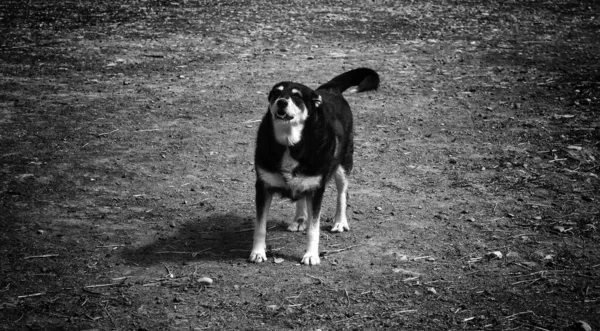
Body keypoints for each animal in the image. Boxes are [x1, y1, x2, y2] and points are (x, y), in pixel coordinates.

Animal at [248, 68, 380, 268]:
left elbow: (313, 228)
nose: (282, 102)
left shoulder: (317, 189)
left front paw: (311, 255)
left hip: (343, 164)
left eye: (297, 97)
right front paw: (257, 252)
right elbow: (260, 226)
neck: (290, 143)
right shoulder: (263, 187)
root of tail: (330, 88)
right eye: (277, 93)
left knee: (342, 194)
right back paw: (299, 219)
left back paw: (339, 222)